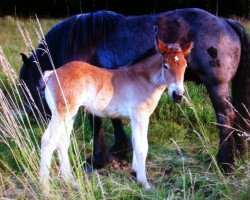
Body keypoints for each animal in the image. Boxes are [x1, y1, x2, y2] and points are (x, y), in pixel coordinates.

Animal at [19, 8, 250, 172]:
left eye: (25, 82)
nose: (32, 116)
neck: (81, 41)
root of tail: (226, 23)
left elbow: (96, 122)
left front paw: (98, 160)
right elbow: (113, 118)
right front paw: (120, 148)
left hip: (216, 86)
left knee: (226, 116)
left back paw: (225, 163)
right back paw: (237, 153)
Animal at [39, 37, 191, 191]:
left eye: (185, 66)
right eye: (165, 65)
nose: (178, 95)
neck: (143, 78)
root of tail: (52, 73)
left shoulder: (136, 118)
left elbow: (136, 142)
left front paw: (135, 172)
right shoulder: (140, 116)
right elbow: (142, 146)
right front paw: (144, 183)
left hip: (70, 115)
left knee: (62, 142)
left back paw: (71, 182)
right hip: (61, 114)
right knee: (47, 141)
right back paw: (45, 188)